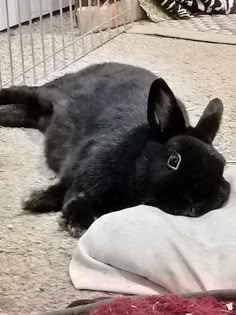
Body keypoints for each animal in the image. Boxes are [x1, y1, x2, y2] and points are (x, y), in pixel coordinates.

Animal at [0, 63, 230, 236]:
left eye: (222, 165)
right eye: (174, 160)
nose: (198, 205)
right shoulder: (83, 168)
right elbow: (65, 189)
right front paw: (74, 221)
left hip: (44, 117)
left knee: (28, 112)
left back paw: (5, 116)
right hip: (49, 94)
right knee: (24, 91)